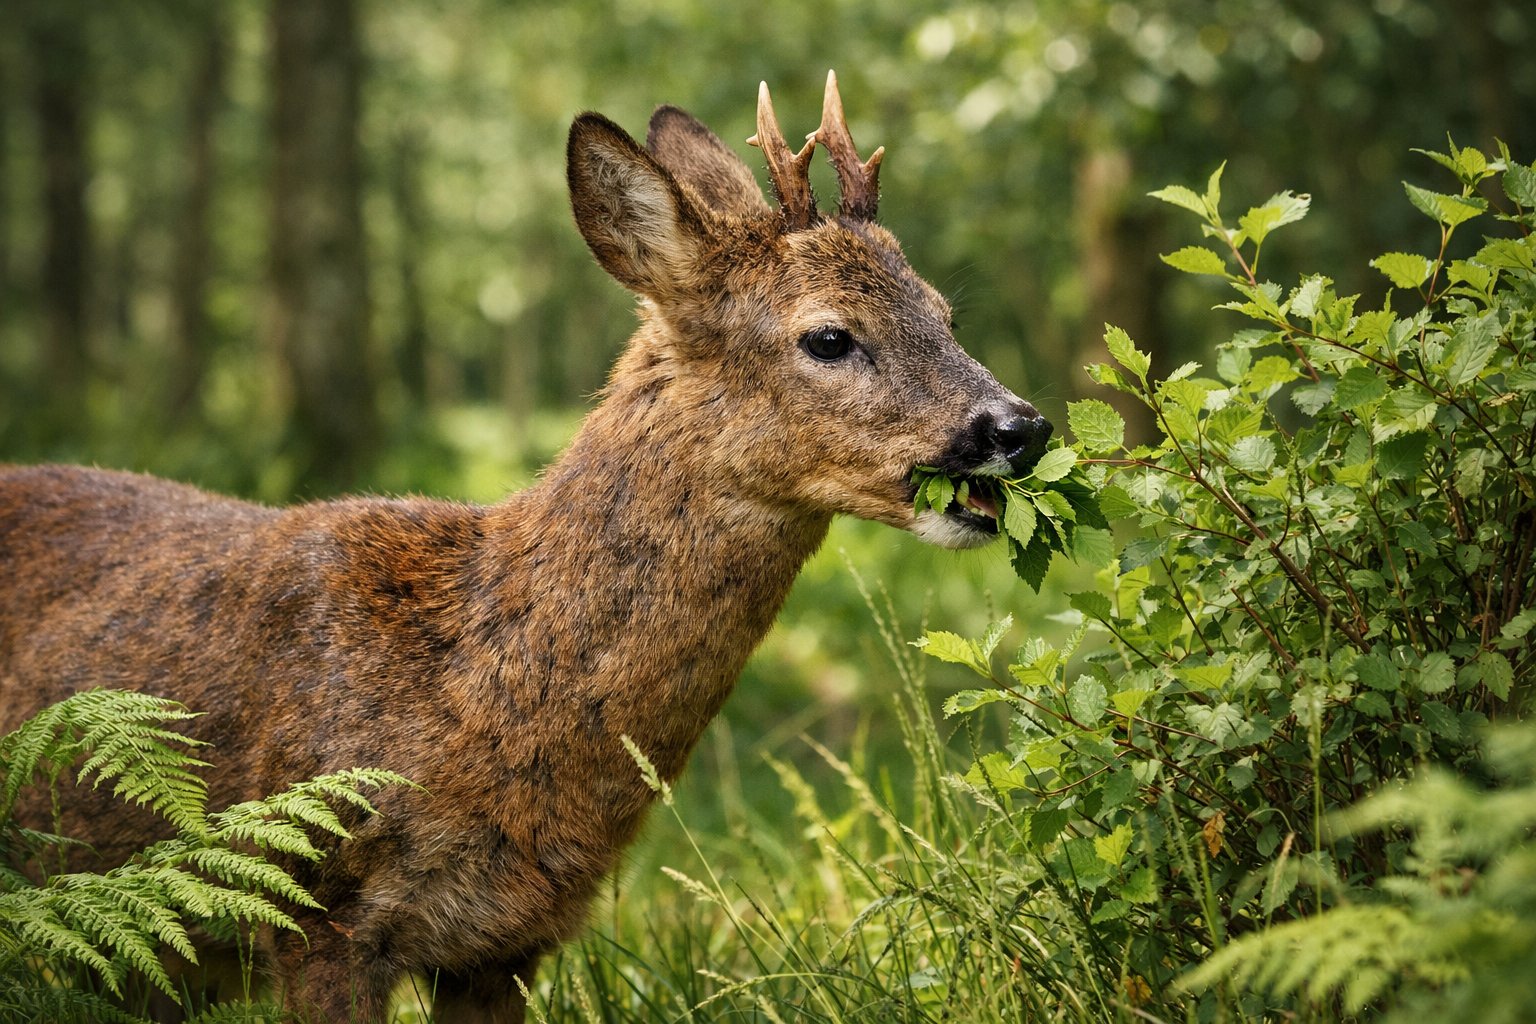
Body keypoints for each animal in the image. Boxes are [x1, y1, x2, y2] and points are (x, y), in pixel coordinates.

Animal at [0, 72, 1052, 1022]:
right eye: (829, 336)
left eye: (945, 315)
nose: (1019, 426)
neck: (470, 687)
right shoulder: (316, 915)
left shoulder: (509, 940)